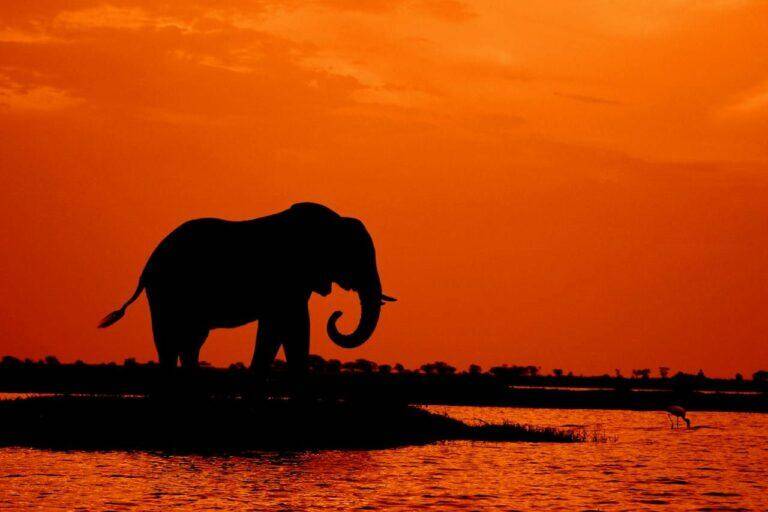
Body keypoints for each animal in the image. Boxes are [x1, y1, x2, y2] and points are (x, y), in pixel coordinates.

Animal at [98, 202, 395, 382]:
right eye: (356, 257)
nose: (338, 314)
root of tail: (147, 265)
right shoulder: (288, 278)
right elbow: (296, 326)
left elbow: (273, 330)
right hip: (166, 291)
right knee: (169, 340)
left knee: (191, 341)